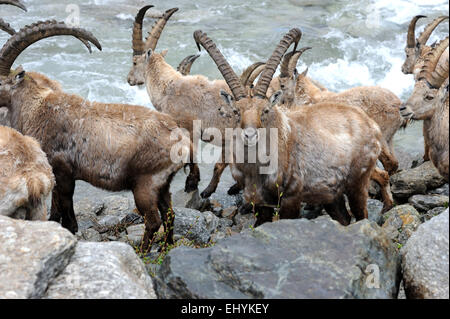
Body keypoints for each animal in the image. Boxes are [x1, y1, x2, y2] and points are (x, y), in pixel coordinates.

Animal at [0, 21, 192, 250]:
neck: (36, 109)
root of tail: (183, 140)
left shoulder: (63, 171)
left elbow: (66, 206)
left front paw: (71, 231)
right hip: (163, 184)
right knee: (169, 214)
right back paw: (166, 247)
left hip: (145, 183)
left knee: (153, 220)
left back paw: (144, 251)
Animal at [193, 28, 384, 226]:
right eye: (236, 111)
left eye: (266, 110)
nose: (250, 135)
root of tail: (371, 125)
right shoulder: (261, 203)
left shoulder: (291, 198)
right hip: (331, 194)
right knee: (344, 218)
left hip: (357, 182)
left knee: (362, 214)